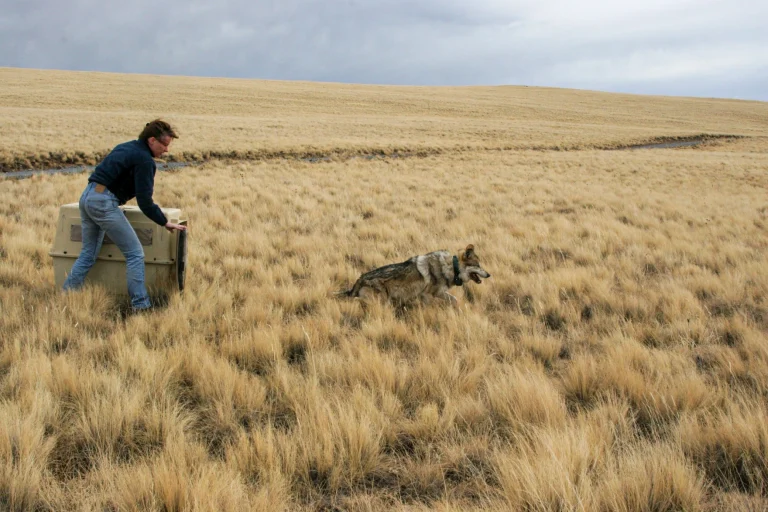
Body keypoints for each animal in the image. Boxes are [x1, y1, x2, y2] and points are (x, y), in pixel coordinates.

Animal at [342, 244, 491, 306]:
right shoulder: (427, 295)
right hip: (380, 300)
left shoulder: (438, 293)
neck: (451, 267)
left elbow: (454, 300)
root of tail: (360, 278)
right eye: (478, 265)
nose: (489, 274)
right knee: (355, 300)